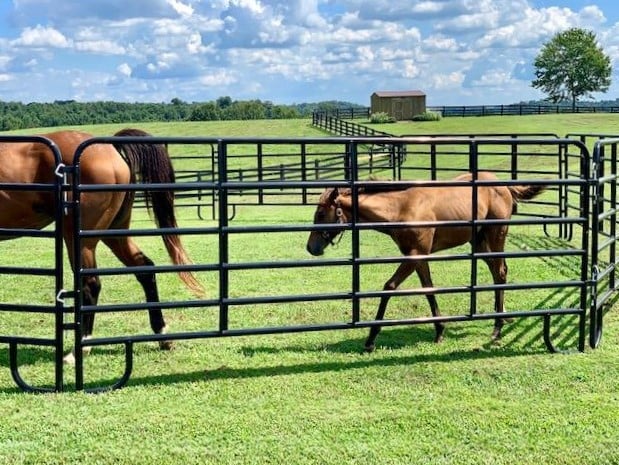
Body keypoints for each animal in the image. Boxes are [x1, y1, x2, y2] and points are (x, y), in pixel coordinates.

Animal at [0, 129, 205, 360]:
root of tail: (111, 147)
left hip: (81, 240)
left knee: (91, 283)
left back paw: (80, 348)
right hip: (114, 233)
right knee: (145, 269)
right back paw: (163, 335)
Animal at [308, 172, 544, 350]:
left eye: (321, 214)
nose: (311, 248)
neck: (401, 208)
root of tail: (503, 185)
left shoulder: (415, 255)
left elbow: (389, 287)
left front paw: (370, 339)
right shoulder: (418, 257)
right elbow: (429, 289)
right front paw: (440, 331)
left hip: (496, 234)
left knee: (500, 271)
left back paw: (497, 328)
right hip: (478, 241)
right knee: (498, 272)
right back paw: (502, 317)